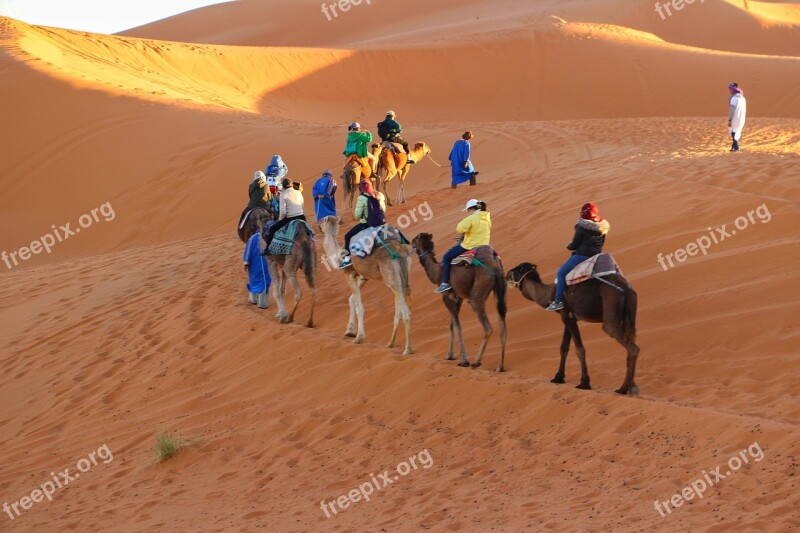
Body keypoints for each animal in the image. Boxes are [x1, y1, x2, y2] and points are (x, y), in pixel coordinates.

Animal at [318, 216, 412, 354]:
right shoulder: (363, 277)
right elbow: (351, 299)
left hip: (391, 277)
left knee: (404, 310)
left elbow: (359, 307)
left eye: (323, 220)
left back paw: (407, 349)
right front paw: (350, 331)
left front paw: (359, 337)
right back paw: (390, 343)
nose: (318, 225)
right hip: (401, 275)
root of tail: (399, 251)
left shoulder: (349, 274)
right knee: (399, 304)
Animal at [412, 233, 506, 370]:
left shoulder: (446, 296)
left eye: (415, 240)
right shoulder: (458, 298)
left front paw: (464, 360)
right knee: (502, 323)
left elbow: (457, 327)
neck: (436, 272)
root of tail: (495, 268)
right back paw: (500, 367)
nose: (409, 242)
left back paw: (476, 361)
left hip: (477, 294)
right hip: (499, 291)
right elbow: (452, 326)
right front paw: (449, 355)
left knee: (487, 327)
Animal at [506, 260, 644, 392]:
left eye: (517, 269)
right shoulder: (569, 317)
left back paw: (628, 388)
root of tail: (626, 289)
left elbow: (579, 349)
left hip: (611, 309)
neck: (548, 294)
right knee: (630, 345)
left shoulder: (567, 315)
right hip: (628, 316)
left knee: (630, 346)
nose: (506, 274)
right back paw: (624, 387)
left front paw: (584, 383)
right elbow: (564, 348)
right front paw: (558, 377)